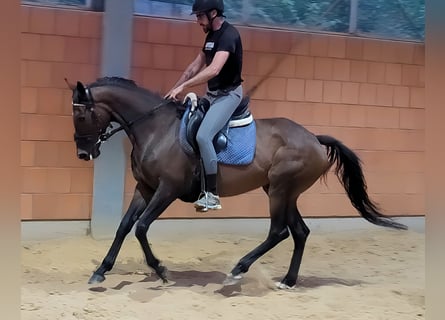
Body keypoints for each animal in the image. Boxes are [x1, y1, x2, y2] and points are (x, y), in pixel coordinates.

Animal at [69, 76, 406, 288]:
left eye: (81, 117)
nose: (84, 154)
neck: (155, 129)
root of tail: (313, 138)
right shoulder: (146, 188)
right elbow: (124, 227)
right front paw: (101, 271)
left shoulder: (167, 189)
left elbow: (141, 228)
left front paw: (162, 270)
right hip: (283, 192)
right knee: (299, 232)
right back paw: (287, 281)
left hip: (280, 189)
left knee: (279, 232)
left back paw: (238, 269)